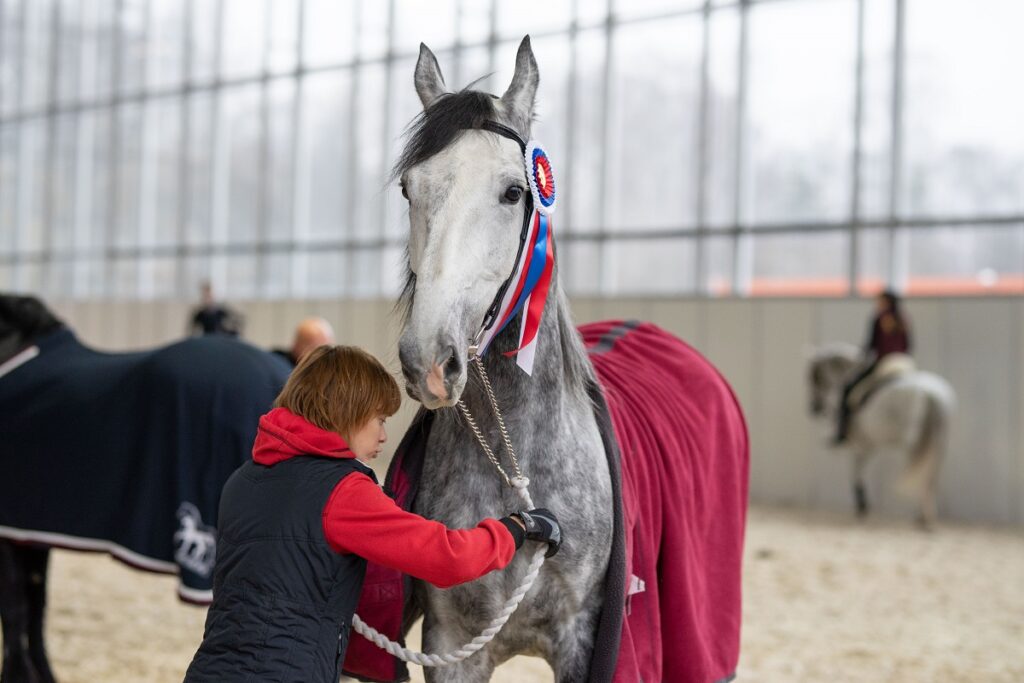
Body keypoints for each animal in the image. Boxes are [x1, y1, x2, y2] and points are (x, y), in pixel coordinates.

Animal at [806, 344, 958, 532]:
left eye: (815, 377)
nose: (813, 407)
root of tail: (933, 395)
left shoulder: (863, 445)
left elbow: (856, 470)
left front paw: (862, 504)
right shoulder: (868, 446)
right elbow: (857, 469)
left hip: (914, 444)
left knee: (922, 475)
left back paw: (925, 520)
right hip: (940, 443)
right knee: (930, 478)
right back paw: (925, 519)